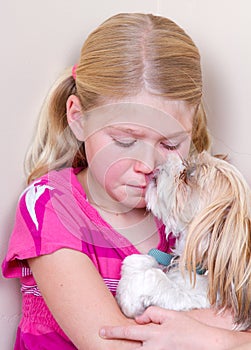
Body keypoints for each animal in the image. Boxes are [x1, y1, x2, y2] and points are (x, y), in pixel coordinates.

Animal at [116, 152, 251, 330]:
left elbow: (155, 278)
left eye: (188, 175)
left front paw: (129, 295)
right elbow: (142, 261)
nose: (166, 160)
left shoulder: (192, 298)